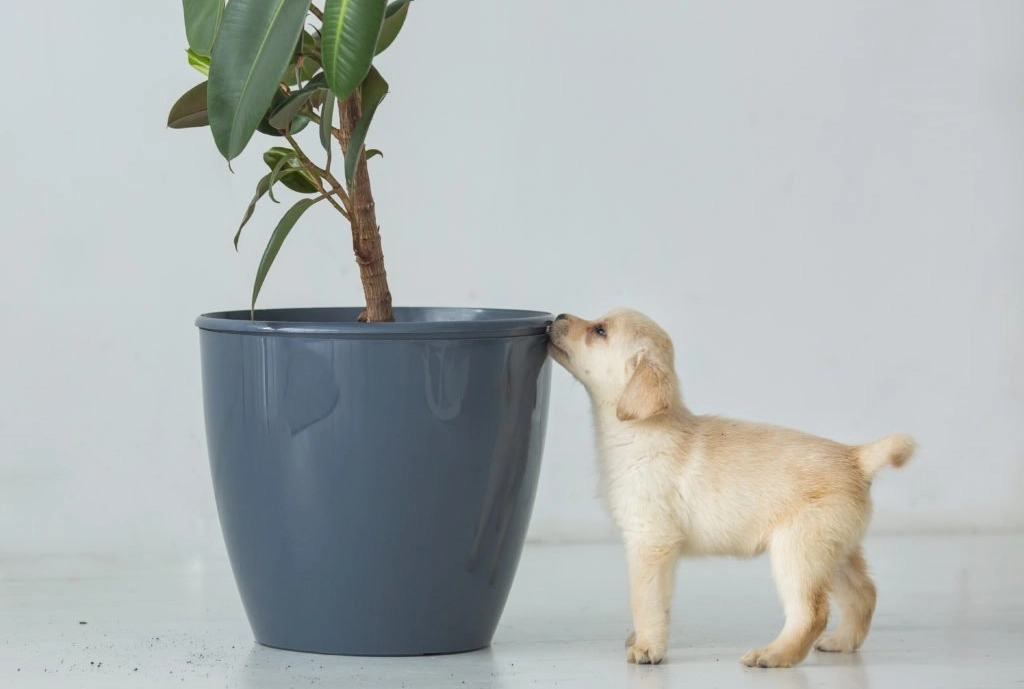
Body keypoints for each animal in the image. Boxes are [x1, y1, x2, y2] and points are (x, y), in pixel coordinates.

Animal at [548, 307, 917, 667]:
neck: (641, 430)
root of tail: (856, 456)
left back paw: (774, 654)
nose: (557, 317)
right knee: (864, 593)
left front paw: (647, 647)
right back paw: (841, 642)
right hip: (833, 552)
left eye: (600, 331)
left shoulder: (651, 543)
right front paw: (640, 639)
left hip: (798, 552)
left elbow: (646, 602)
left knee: (812, 612)